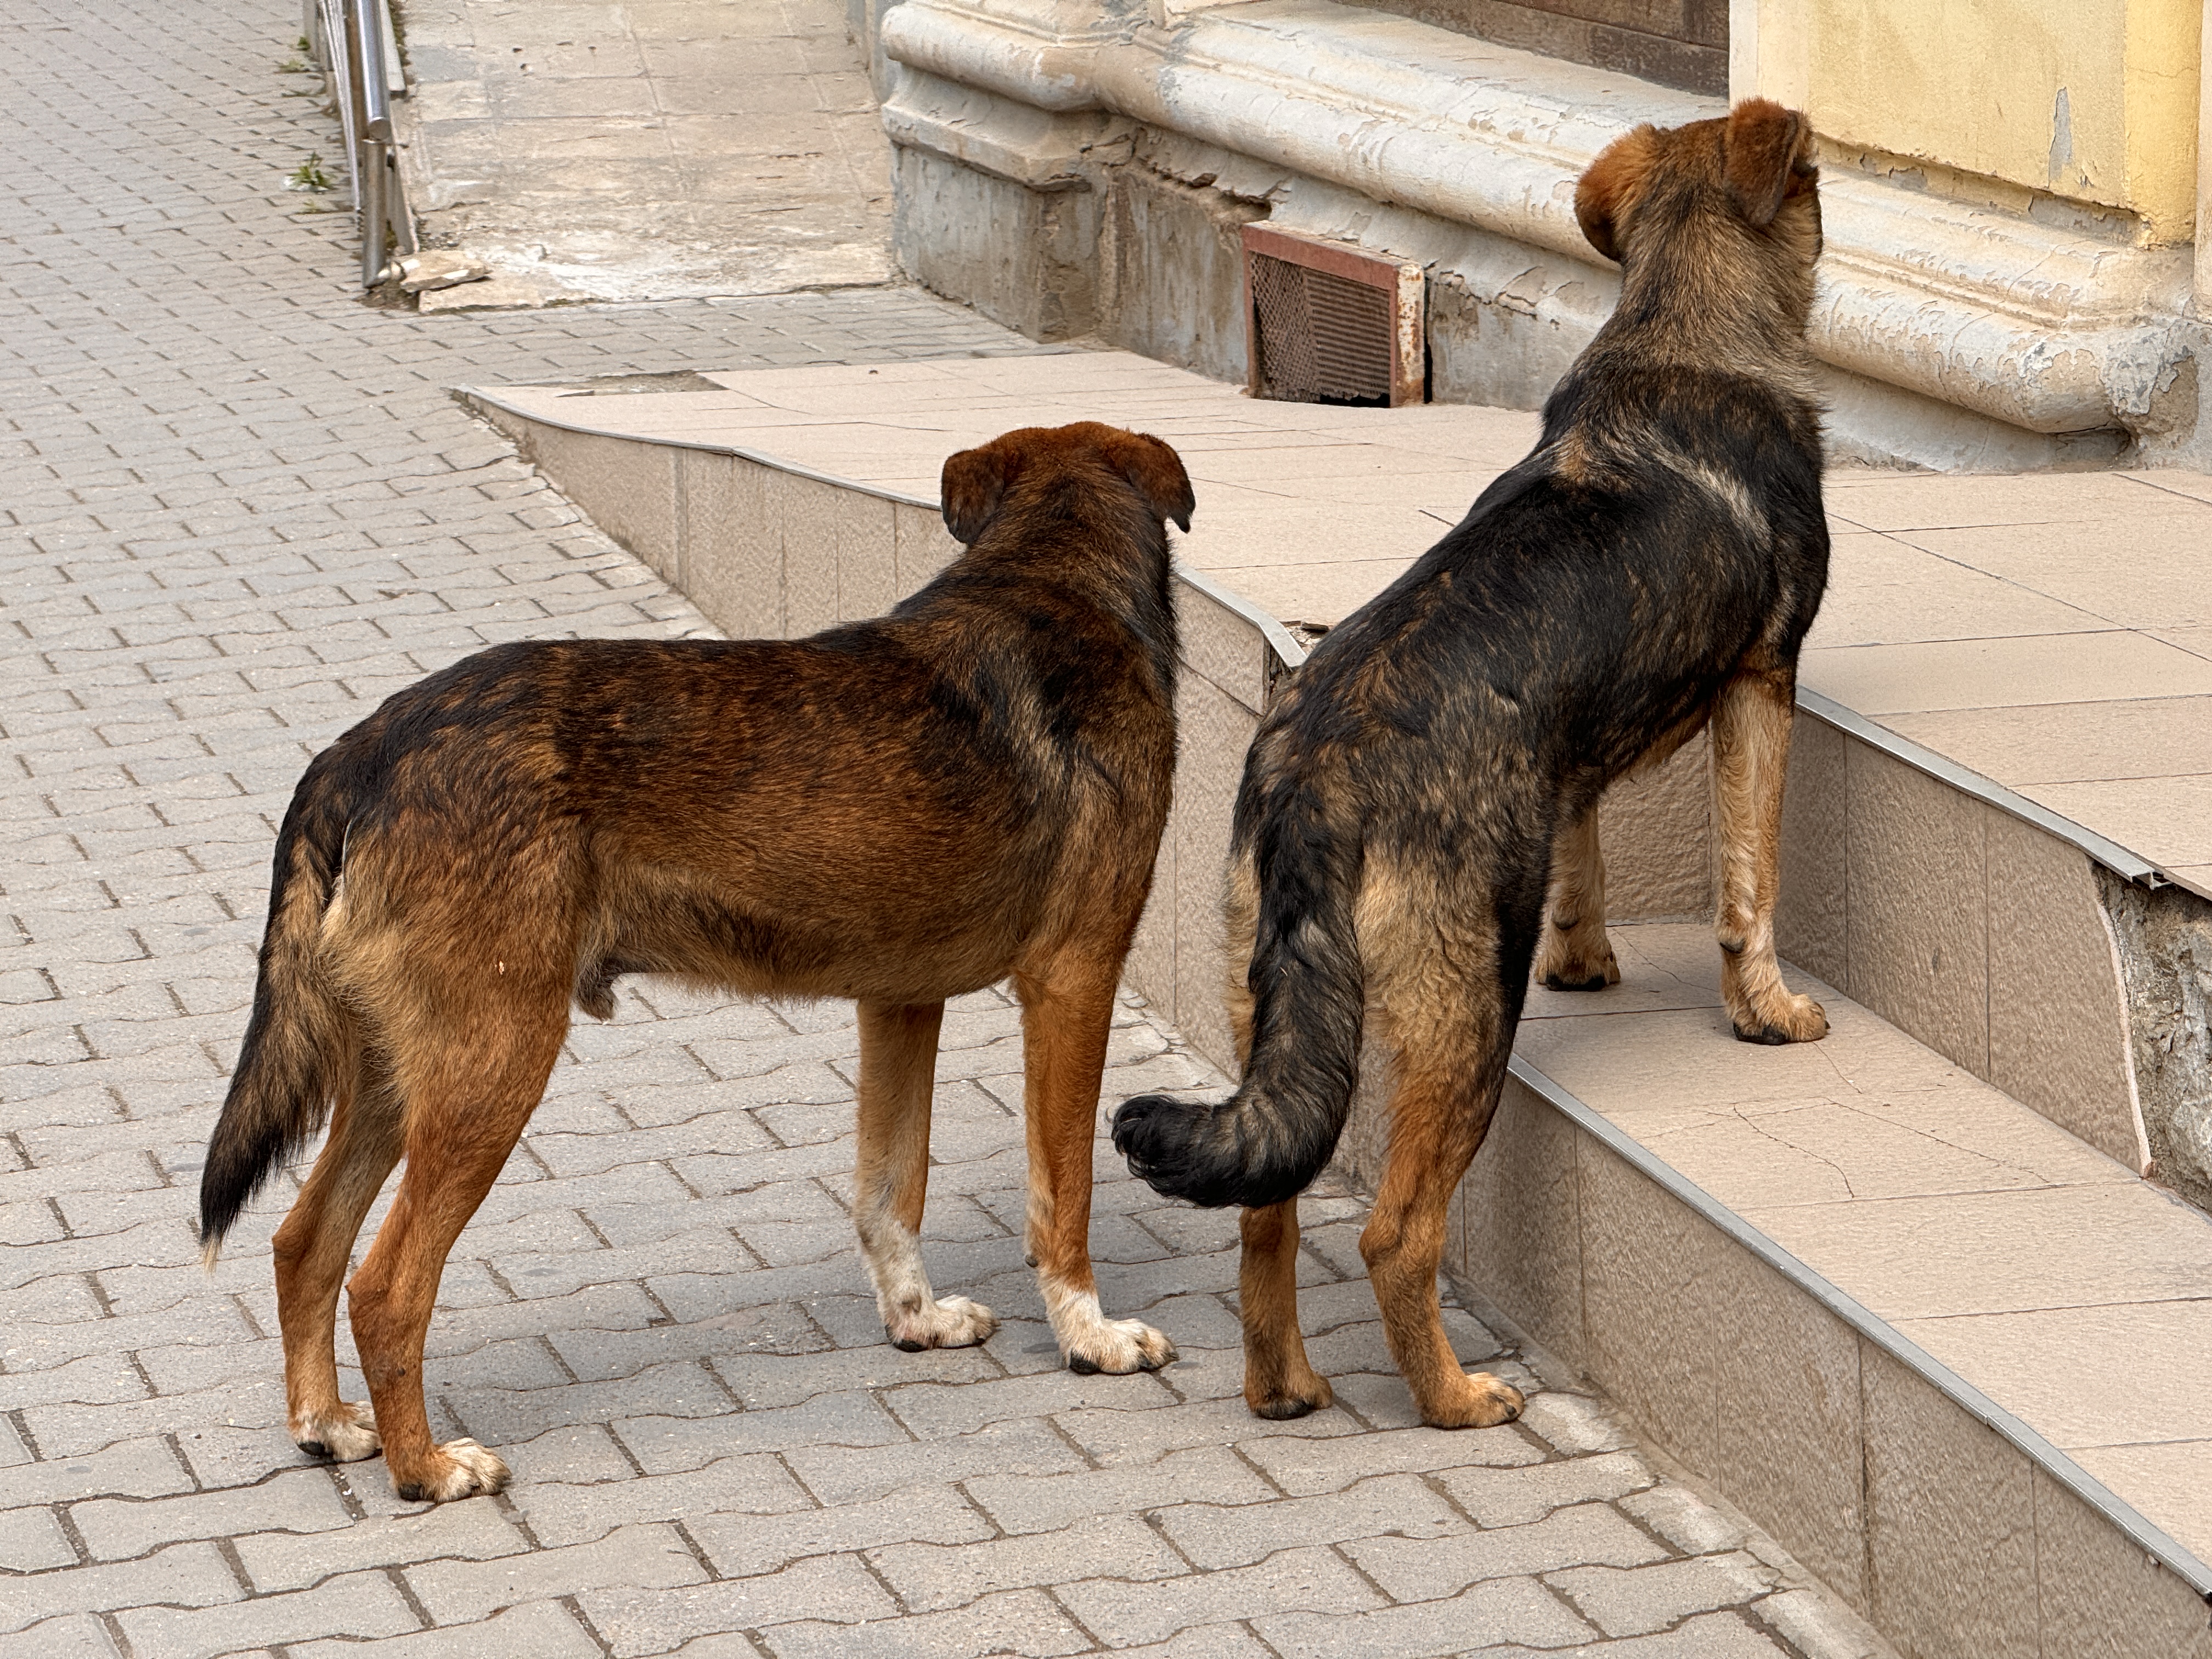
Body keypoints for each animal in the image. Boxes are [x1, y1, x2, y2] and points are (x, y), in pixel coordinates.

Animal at [201, 418, 1203, 1504]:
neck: (1051, 577)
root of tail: (366, 746)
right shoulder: (1074, 982)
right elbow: (1064, 1198)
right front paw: (1090, 1337)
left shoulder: (900, 1001)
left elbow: (890, 1188)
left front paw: (916, 1320)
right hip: (491, 1067)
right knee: (385, 1284)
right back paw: (426, 1467)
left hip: (401, 1073)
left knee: (304, 1242)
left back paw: (329, 1425)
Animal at [1124, 100, 1831, 1433]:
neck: (1681, 323)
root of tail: (1316, 772)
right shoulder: (1763, 683)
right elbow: (1750, 880)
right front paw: (1766, 1009)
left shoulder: (1579, 753)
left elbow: (1587, 845)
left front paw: (1589, 958)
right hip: (1462, 1011)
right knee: (1395, 1232)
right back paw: (1454, 1397)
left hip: (1272, 1001)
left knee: (1266, 1208)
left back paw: (1285, 1386)